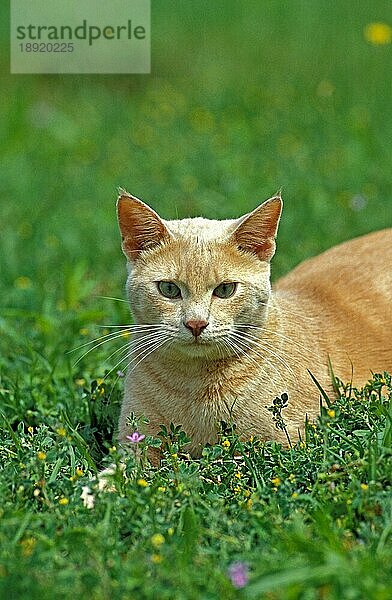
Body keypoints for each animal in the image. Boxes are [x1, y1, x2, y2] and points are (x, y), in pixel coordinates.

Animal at [115, 190, 392, 458]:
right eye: (169, 289)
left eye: (225, 290)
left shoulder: (274, 447)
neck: (192, 385)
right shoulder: (134, 444)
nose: (196, 323)